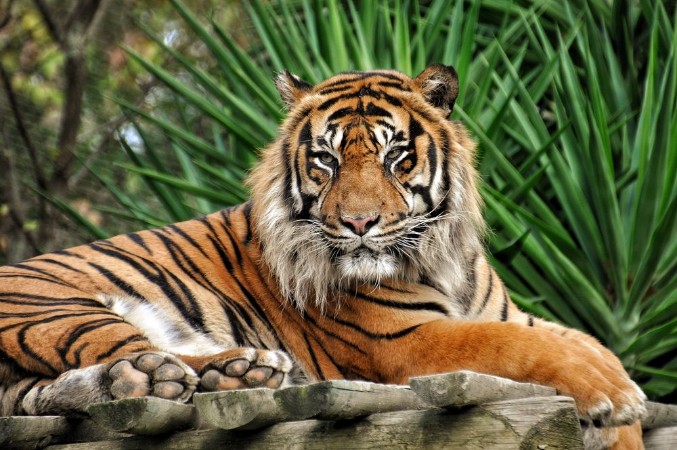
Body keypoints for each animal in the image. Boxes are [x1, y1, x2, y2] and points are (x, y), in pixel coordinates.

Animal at [0, 64, 645, 449]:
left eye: (396, 156)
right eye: (326, 160)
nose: (358, 224)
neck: (441, 258)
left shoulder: (514, 313)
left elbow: (587, 341)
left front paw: (618, 405)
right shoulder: (407, 340)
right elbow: (517, 346)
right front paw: (612, 395)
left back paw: (241, 373)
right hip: (56, 307)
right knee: (127, 360)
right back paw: (217, 371)